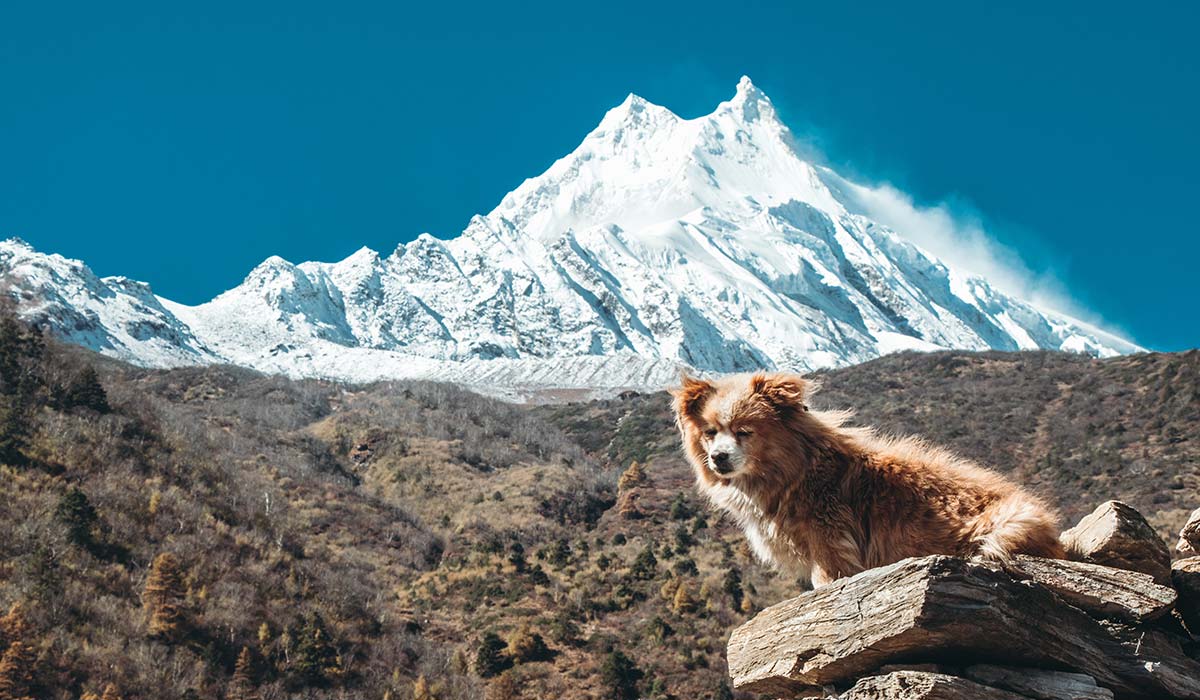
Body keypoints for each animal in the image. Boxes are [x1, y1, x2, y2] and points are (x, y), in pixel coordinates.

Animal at [672, 369, 1065, 588]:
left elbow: (826, 578)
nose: (718, 458)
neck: (794, 469)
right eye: (710, 432)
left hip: (1004, 527)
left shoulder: (829, 538)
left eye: (745, 432)